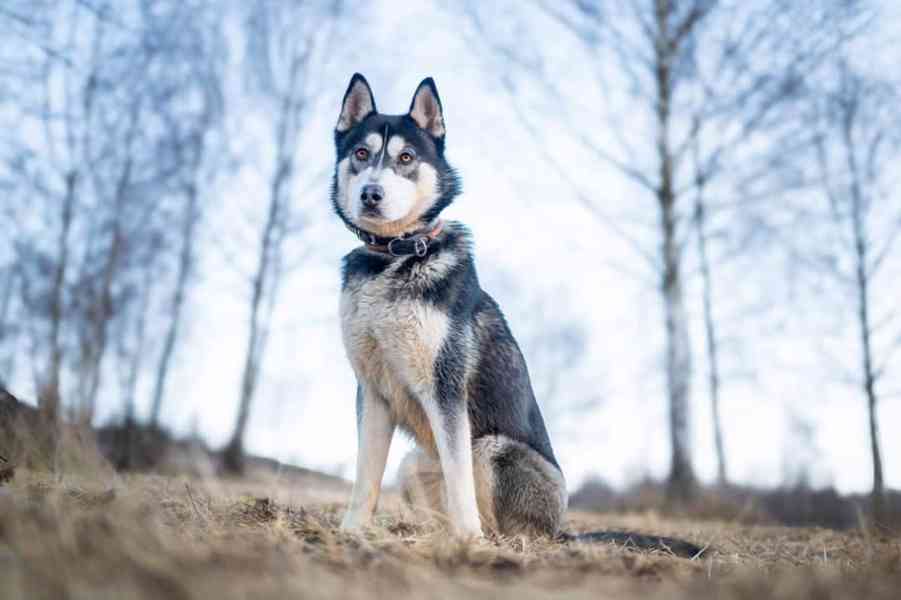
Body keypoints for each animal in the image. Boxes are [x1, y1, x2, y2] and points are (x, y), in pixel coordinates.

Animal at [332, 75, 704, 556]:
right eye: (361, 153)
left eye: (406, 158)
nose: (370, 195)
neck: (393, 259)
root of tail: (561, 528)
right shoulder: (373, 391)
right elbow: (365, 479)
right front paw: (351, 532)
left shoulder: (445, 389)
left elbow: (459, 482)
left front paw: (469, 542)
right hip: (413, 463)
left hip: (493, 447)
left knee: (505, 525)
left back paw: (486, 541)